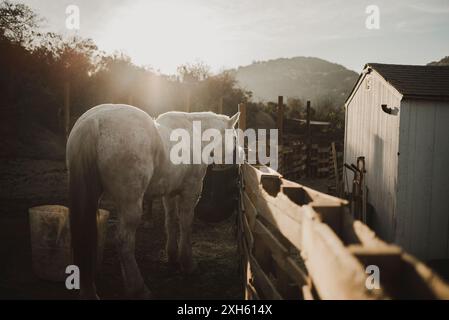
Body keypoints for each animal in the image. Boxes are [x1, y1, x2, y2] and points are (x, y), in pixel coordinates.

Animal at [66, 104, 238, 298]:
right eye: (235, 137)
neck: (193, 133)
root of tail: (94, 121)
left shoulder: (169, 194)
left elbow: (170, 222)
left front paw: (172, 256)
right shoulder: (190, 192)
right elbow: (186, 225)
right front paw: (188, 264)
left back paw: (91, 291)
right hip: (131, 203)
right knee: (124, 241)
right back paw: (138, 288)